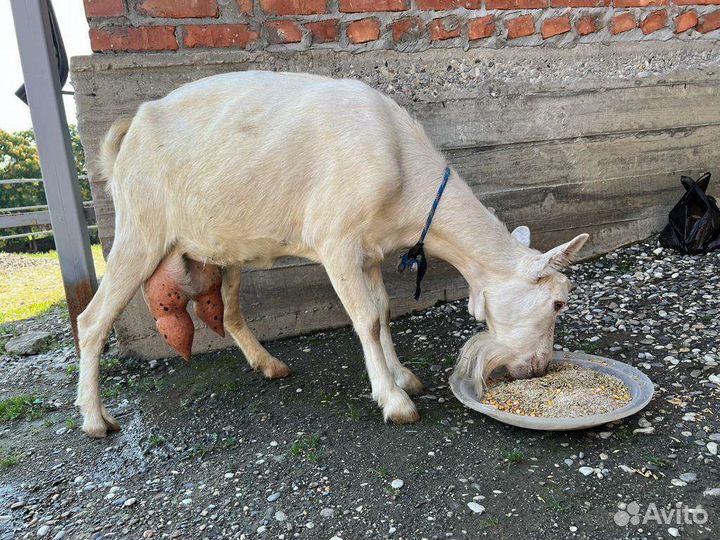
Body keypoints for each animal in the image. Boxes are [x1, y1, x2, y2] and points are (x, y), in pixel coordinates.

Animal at [76, 71, 588, 437]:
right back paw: (95, 419)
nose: (541, 367)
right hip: (141, 229)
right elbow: (365, 318)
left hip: (221, 248)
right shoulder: (336, 241)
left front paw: (403, 377)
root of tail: (129, 132)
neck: (403, 168)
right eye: (558, 302)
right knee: (92, 320)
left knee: (229, 313)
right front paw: (394, 401)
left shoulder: (371, 251)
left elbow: (383, 312)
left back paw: (270, 365)